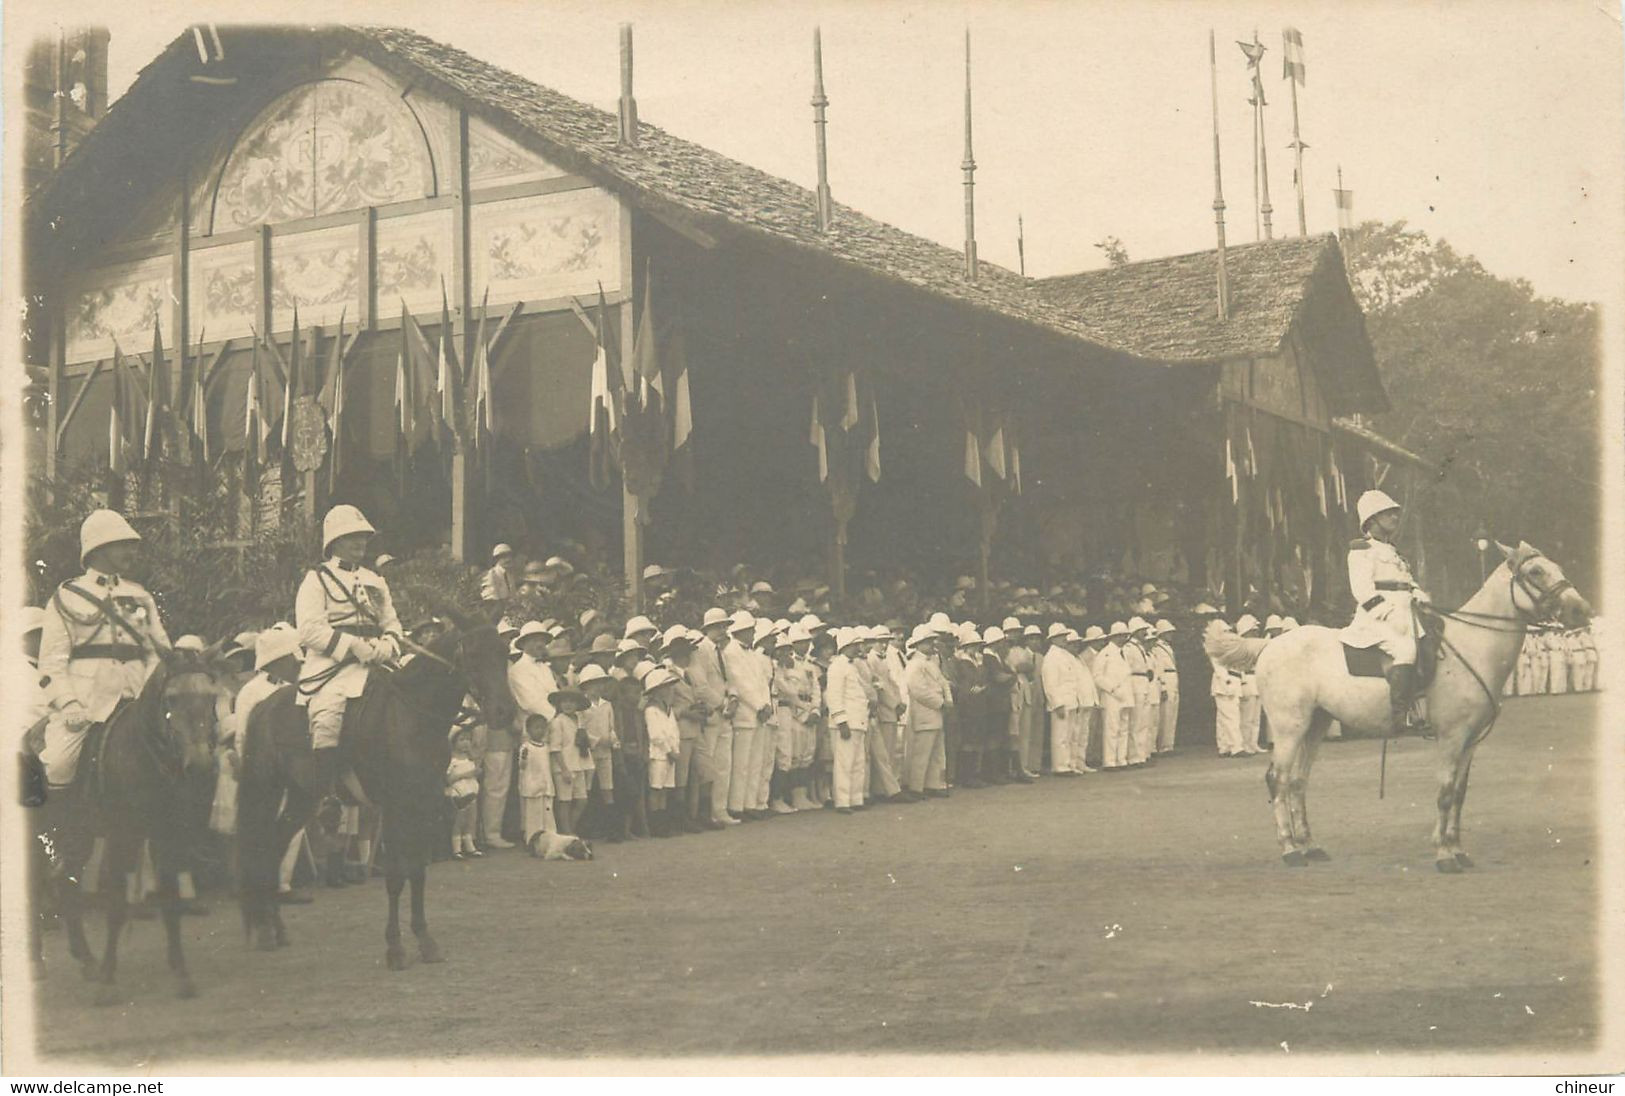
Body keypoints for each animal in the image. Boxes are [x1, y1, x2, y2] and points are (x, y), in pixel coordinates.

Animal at [37, 653, 232, 1001]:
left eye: (211, 696)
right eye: (172, 698)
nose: (199, 765)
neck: (145, 757)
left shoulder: (168, 835)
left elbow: (170, 898)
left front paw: (181, 974)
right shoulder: (121, 837)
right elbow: (116, 903)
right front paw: (107, 982)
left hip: (79, 834)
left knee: (66, 883)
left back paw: (86, 959)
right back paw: (39, 964)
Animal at [235, 617, 510, 969]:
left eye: (504, 653)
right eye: (473, 654)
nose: (504, 712)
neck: (412, 714)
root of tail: (262, 707)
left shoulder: (423, 803)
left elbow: (417, 870)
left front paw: (425, 940)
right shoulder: (394, 807)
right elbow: (395, 875)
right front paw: (395, 947)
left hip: (301, 795)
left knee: (276, 843)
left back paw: (276, 927)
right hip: (269, 790)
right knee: (264, 846)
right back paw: (266, 929)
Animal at [1215, 539, 1592, 871]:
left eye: (1556, 566)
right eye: (1535, 572)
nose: (1582, 611)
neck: (1473, 646)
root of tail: (1268, 645)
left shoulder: (1470, 741)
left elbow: (1459, 794)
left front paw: (1458, 850)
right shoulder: (1451, 737)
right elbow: (1444, 793)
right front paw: (1444, 855)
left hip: (1316, 725)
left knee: (1297, 781)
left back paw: (1309, 846)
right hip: (1288, 727)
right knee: (1277, 779)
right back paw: (1290, 850)